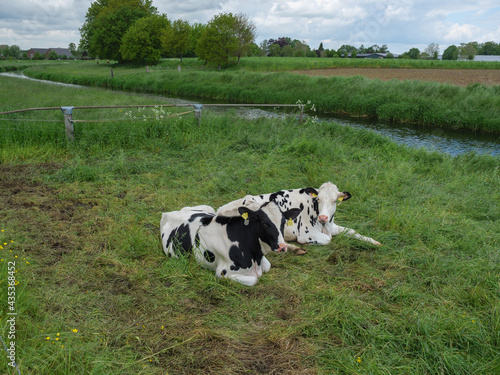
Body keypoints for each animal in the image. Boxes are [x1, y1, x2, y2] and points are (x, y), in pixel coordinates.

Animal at [160, 203, 300, 288]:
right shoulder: (223, 273)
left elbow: (267, 266)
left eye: (283, 222)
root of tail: (169, 213)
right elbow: (254, 279)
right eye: (265, 223)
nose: (282, 246)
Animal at [217, 181, 380, 254]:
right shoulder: (306, 234)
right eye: (318, 199)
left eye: (334, 201)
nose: (323, 217)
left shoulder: (332, 225)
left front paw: (375, 242)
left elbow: (352, 231)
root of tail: (219, 210)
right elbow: (327, 239)